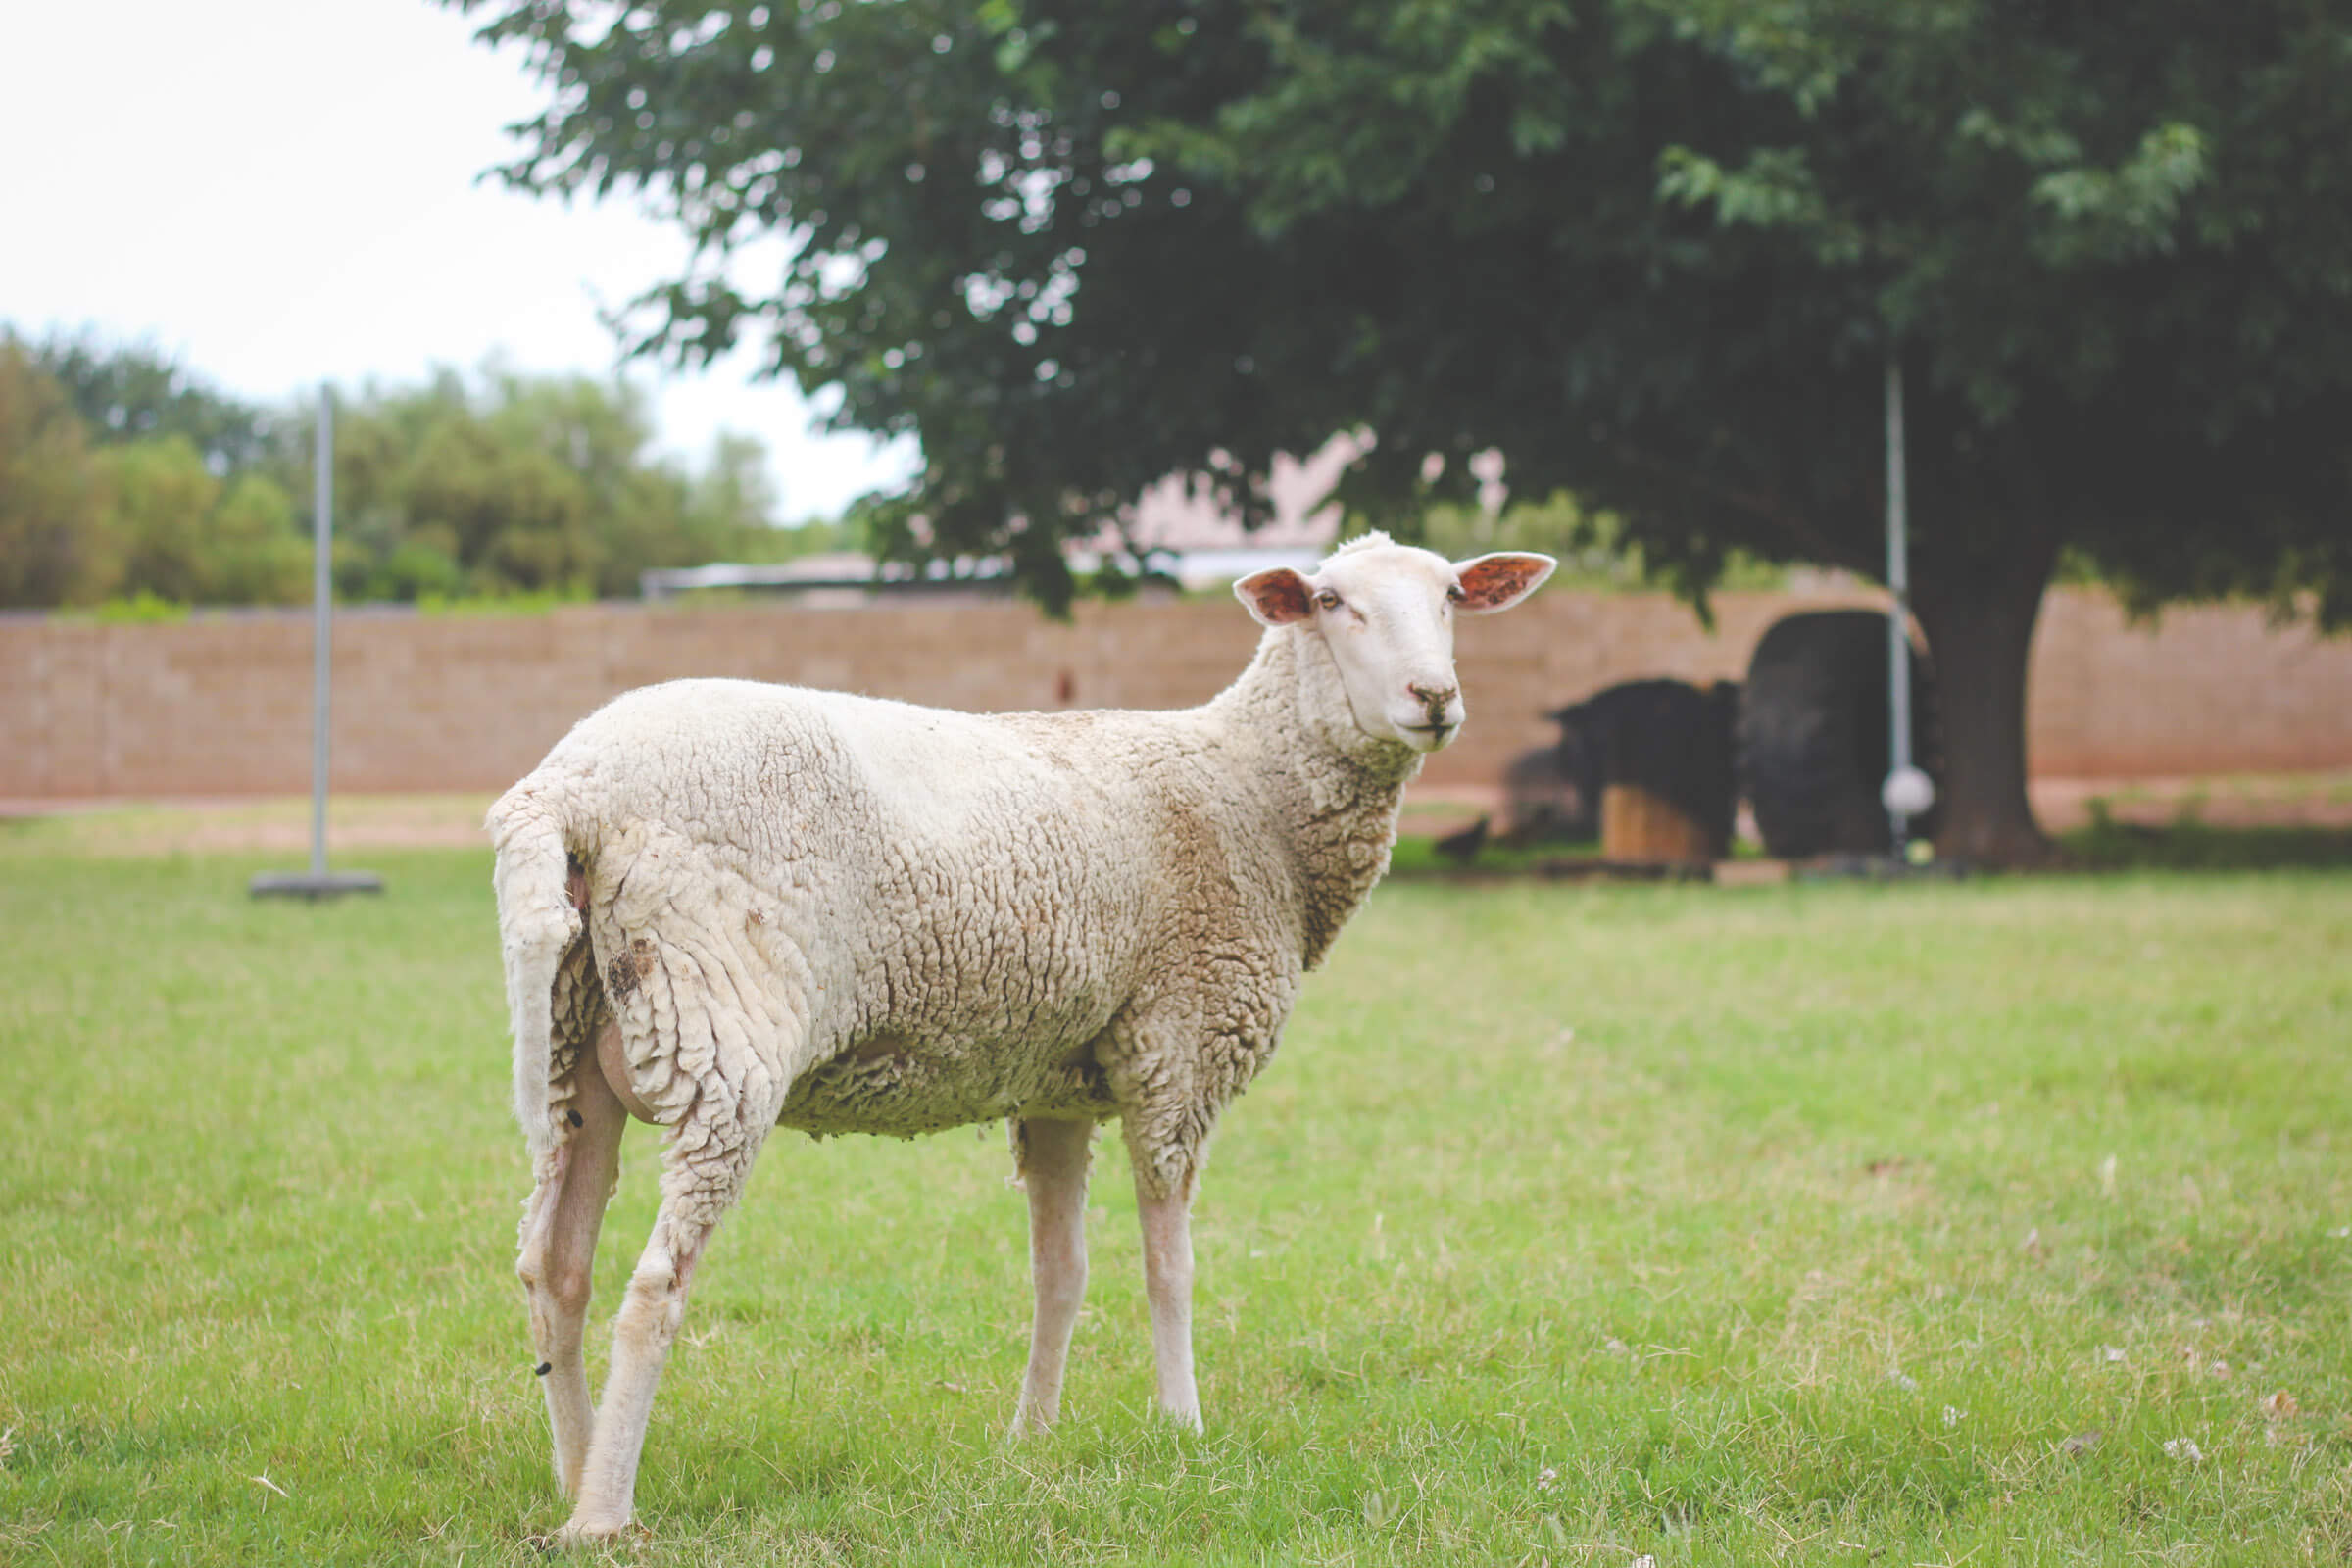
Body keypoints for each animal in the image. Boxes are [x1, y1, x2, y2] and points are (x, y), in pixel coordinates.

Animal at [484, 533, 1552, 1542]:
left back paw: (573, 1469)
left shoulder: (1055, 1086)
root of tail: (571, 788)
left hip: (577, 1044)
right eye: (1331, 601)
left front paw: (1030, 1439)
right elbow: (1170, 1267)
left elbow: (1059, 1274)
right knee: (654, 1285)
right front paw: (1183, 1428)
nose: (1433, 697)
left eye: (1452, 596)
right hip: (724, 1029)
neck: (1252, 793)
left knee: (556, 1271)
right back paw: (605, 1511)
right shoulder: (1180, 1044)